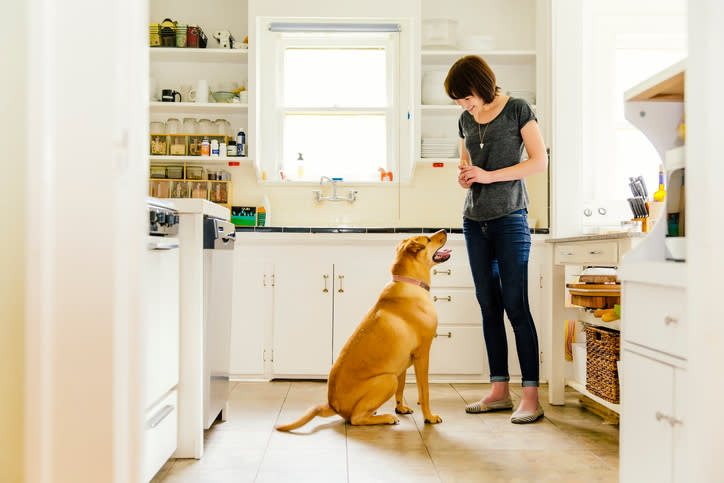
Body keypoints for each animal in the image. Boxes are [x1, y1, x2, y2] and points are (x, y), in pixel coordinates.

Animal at [278, 230, 452, 432]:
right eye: (428, 239)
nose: (445, 231)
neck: (410, 283)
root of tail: (332, 405)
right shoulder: (422, 354)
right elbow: (424, 392)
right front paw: (429, 417)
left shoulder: (402, 363)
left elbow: (401, 389)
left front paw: (400, 408)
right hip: (388, 380)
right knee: (356, 419)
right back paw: (386, 417)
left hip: (392, 376)